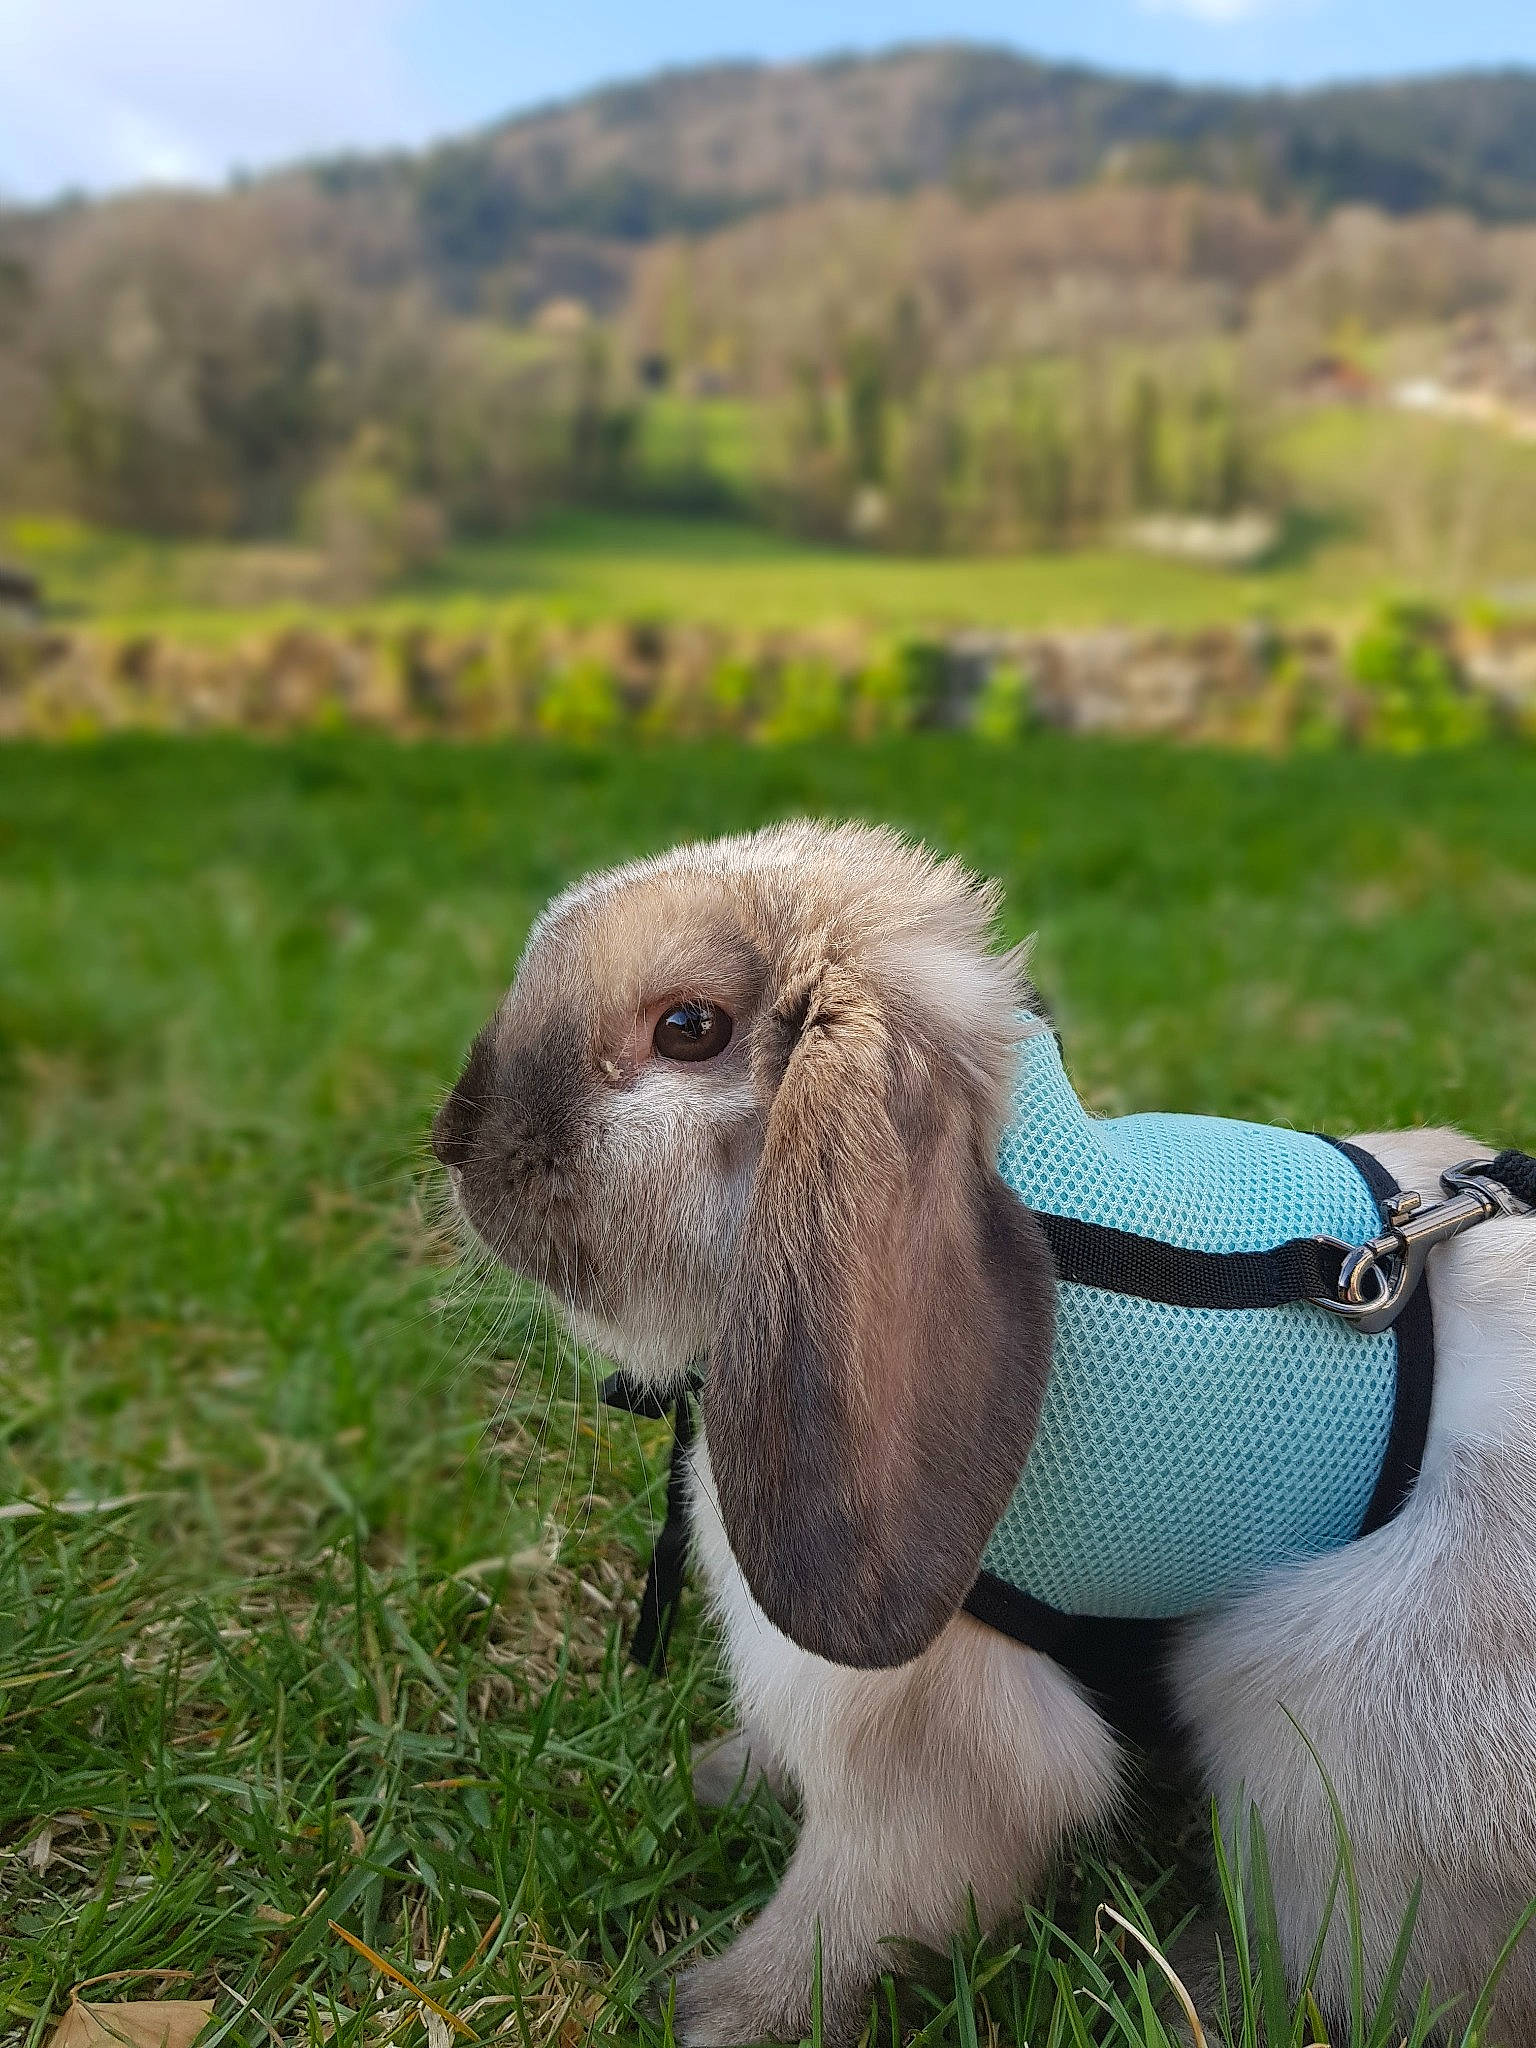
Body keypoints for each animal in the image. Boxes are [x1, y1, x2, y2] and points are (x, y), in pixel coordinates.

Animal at [431, 818, 1536, 2047]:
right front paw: (726, 1778)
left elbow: (860, 1897)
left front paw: (714, 2009)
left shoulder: (918, 1746)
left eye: (688, 1028)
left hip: (1323, 1708)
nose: (456, 1137)